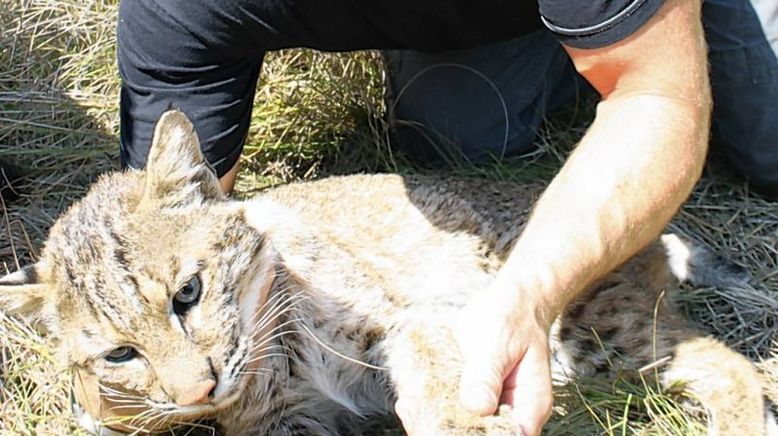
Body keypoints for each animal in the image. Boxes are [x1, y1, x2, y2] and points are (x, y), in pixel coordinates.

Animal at [3, 110, 772, 434]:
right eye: (119, 356)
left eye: (187, 294)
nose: (199, 391)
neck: (274, 355)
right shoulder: (285, 423)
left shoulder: (417, 317)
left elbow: (432, 373)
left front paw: (463, 425)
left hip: (584, 326)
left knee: (727, 360)